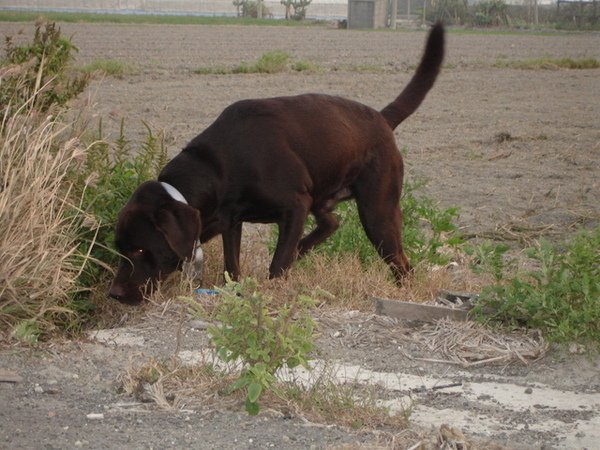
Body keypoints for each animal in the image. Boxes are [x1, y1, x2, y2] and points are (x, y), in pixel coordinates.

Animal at [110, 22, 442, 304]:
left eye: (140, 248)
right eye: (119, 249)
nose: (114, 293)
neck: (220, 167)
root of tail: (381, 120)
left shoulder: (294, 206)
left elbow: (278, 263)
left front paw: (272, 289)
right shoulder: (232, 221)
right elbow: (232, 266)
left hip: (378, 213)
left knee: (401, 263)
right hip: (324, 197)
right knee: (332, 222)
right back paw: (303, 249)